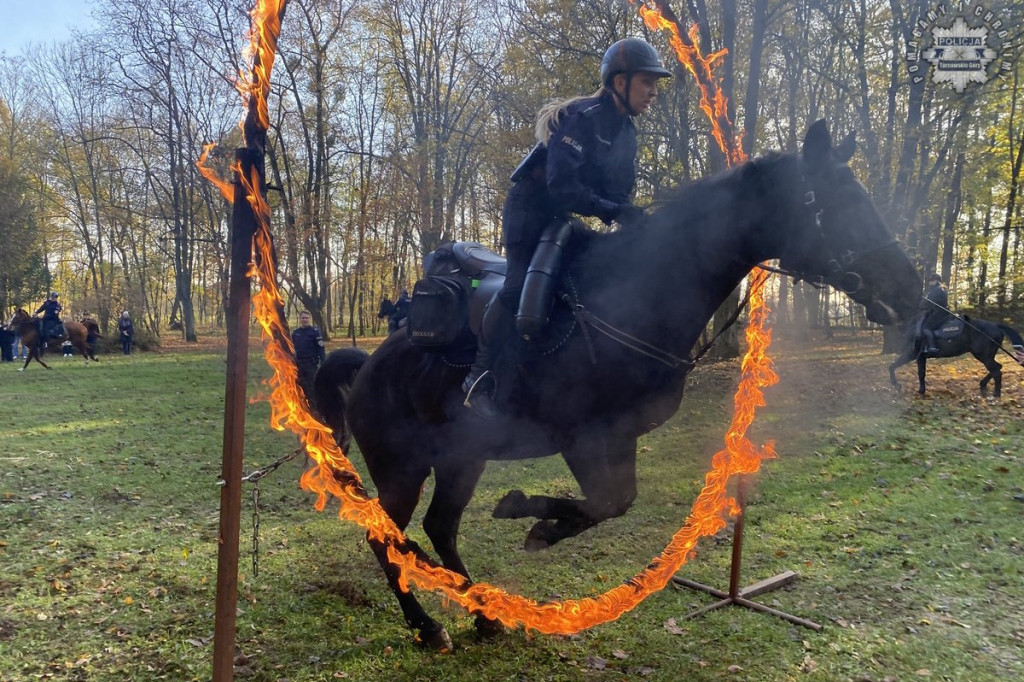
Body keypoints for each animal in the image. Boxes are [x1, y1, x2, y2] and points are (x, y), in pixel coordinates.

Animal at [311, 122, 921, 647]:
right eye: (835, 202)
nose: (909, 288)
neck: (631, 300)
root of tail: (369, 365)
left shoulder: (617, 438)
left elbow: (614, 502)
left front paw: (540, 523)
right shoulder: (584, 437)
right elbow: (605, 501)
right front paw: (530, 517)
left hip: (462, 459)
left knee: (439, 528)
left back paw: (483, 614)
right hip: (402, 468)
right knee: (384, 536)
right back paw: (428, 627)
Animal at [888, 311, 1024, 395]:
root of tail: (996, 325)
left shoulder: (915, 355)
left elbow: (916, 372)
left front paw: (915, 389)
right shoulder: (916, 355)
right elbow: (902, 368)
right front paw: (904, 387)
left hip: (984, 356)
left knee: (996, 371)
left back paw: (996, 394)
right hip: (985, 356)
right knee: (998, 367)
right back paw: (983, 385)